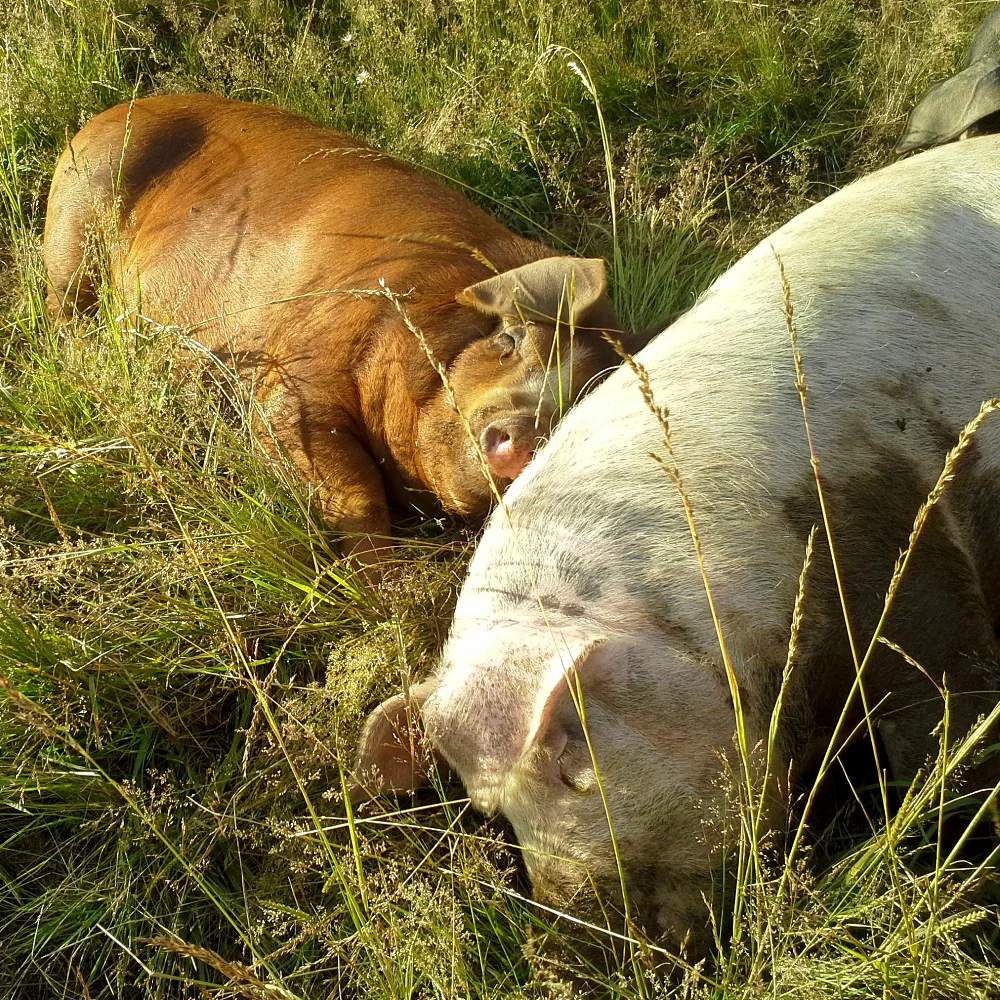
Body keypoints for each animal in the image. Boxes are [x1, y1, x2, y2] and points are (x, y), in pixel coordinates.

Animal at [43, 94, 627, 564]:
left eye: (581, 401)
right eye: (510, 339)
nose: (525, 434)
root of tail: (112, 110)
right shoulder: (298, 372)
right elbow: (350, 490)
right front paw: (380, 584)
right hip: (75, 216)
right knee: (64, 313)